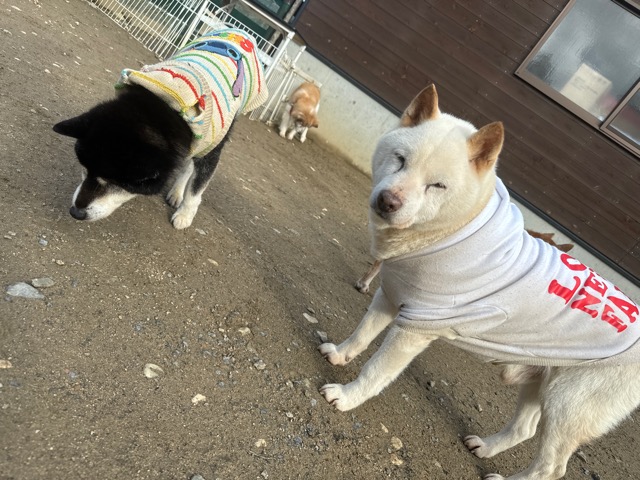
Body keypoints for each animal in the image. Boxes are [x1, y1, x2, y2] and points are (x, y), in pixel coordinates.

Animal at [53, 28, 268, 229]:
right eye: (85, 168)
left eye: (120, 183)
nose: (76, 212)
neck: (164, 106)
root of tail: (238, 31)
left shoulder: (210, 149)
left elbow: (195, 191)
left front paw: (184, 215)